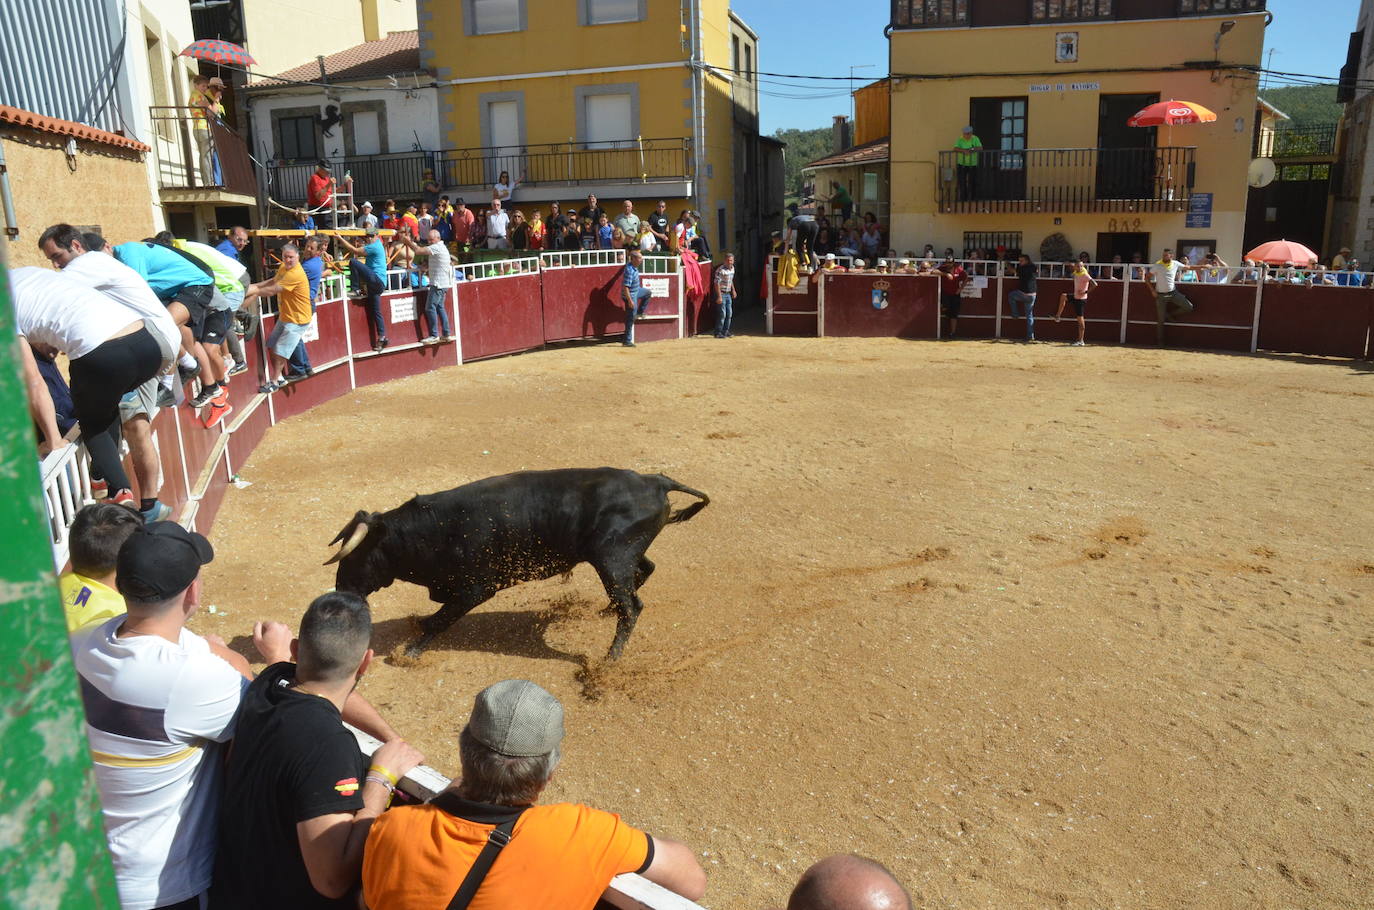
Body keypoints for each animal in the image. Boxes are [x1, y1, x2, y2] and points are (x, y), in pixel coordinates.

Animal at [321, 470, 708, 662]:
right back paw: (605, 610)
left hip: (611, 560)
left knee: (632, 607)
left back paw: (609, 660)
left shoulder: (477, 588)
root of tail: (656, 481)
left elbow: (444, 618)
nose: (341, 591)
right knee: (644, 573)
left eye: (355, 555)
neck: (435, 529)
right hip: (618, 557)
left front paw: (411, 651)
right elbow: (439, 614)